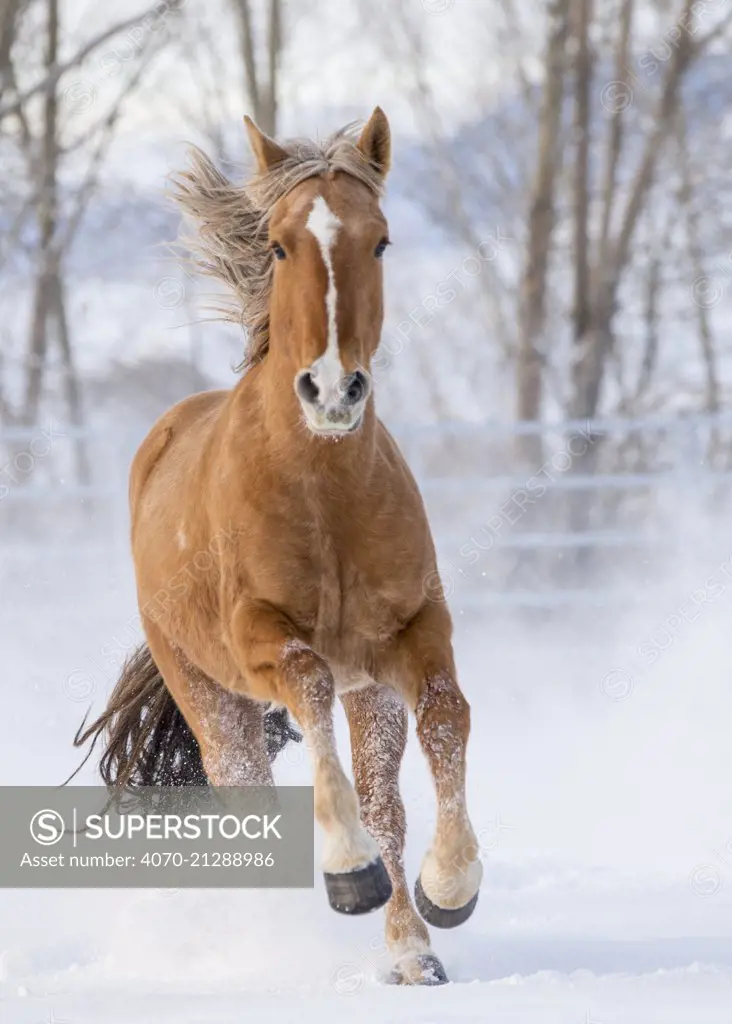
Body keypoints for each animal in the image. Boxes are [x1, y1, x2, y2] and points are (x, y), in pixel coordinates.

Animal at [77, 108, 483, 987]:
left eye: (381, 241)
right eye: (279, 245)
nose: (331, 391)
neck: (322, 493)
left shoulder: (408, 637)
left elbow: (446, 717)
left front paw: (449, 889)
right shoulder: (263, 640)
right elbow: (307, 682)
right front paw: (348, 872)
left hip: (367, 691)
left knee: (383, 800)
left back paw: (411, 951)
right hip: (209, 697)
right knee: (248, 797)